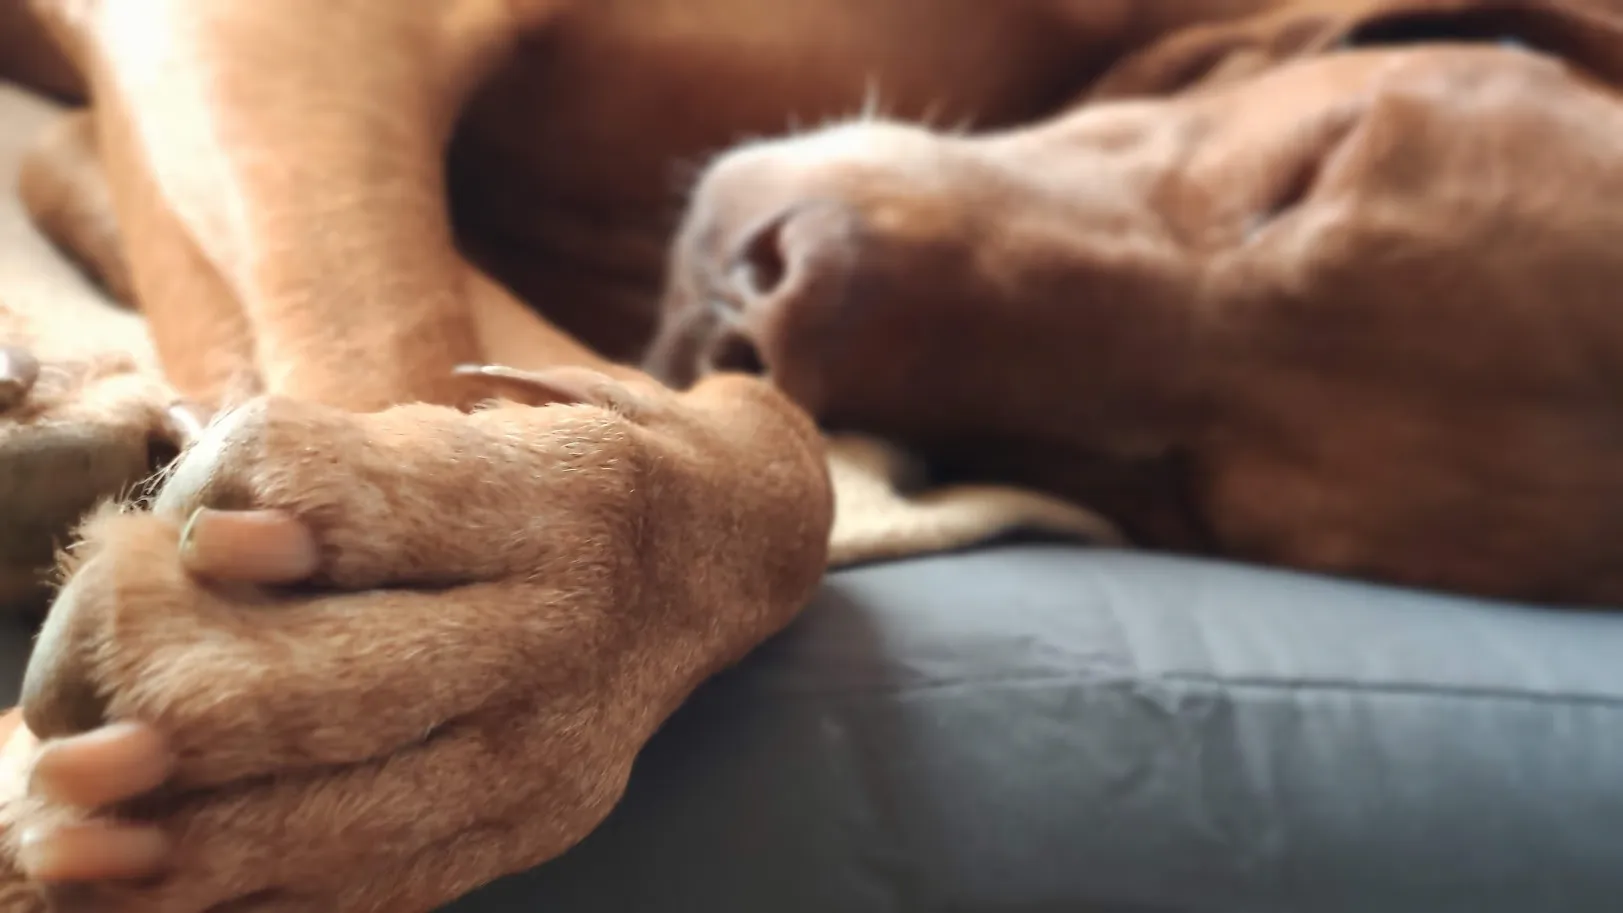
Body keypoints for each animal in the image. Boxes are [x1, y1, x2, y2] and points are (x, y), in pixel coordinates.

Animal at [3, 0, 1623, 908]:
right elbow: (386, 336)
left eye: (1167, 477)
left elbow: (785, 468)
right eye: (1305, 175)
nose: (775, 284)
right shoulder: (273, 32)